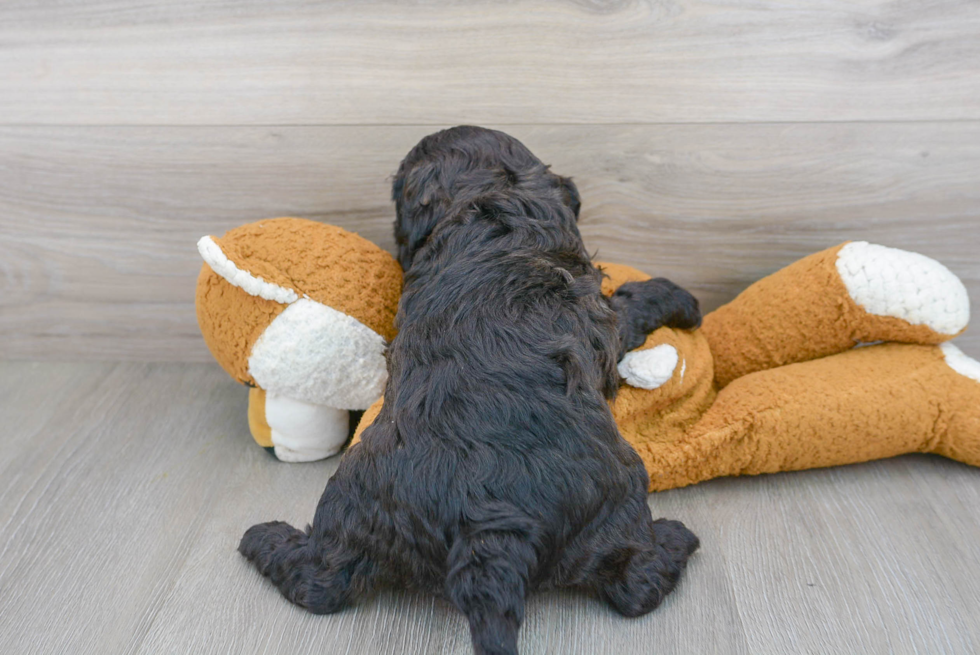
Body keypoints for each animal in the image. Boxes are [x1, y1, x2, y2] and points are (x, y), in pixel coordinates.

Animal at [244, 125, 704, 652]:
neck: (490, 201)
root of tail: (489, 530)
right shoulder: (603, 315)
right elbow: (632, 301)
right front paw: (681, 299)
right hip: (619, 498)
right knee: (636, 584)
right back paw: (676, 539)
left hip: (354, 504)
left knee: (322, 581)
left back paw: (264, 538)